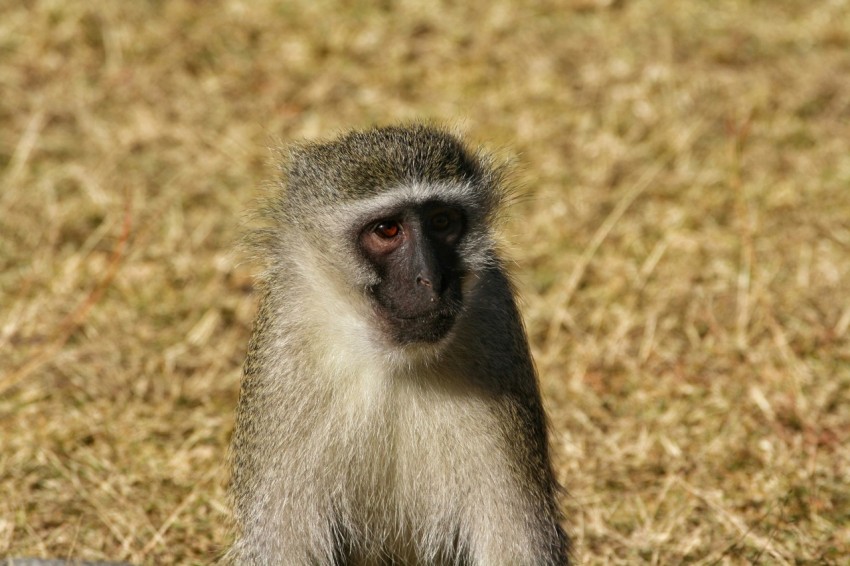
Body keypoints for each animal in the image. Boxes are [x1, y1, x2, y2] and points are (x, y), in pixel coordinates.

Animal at [229, 125, 568, 566]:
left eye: (442, 221)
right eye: (387, 230)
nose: (432, 279)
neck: (392, 360)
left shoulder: (495, 326)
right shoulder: (283, 348)